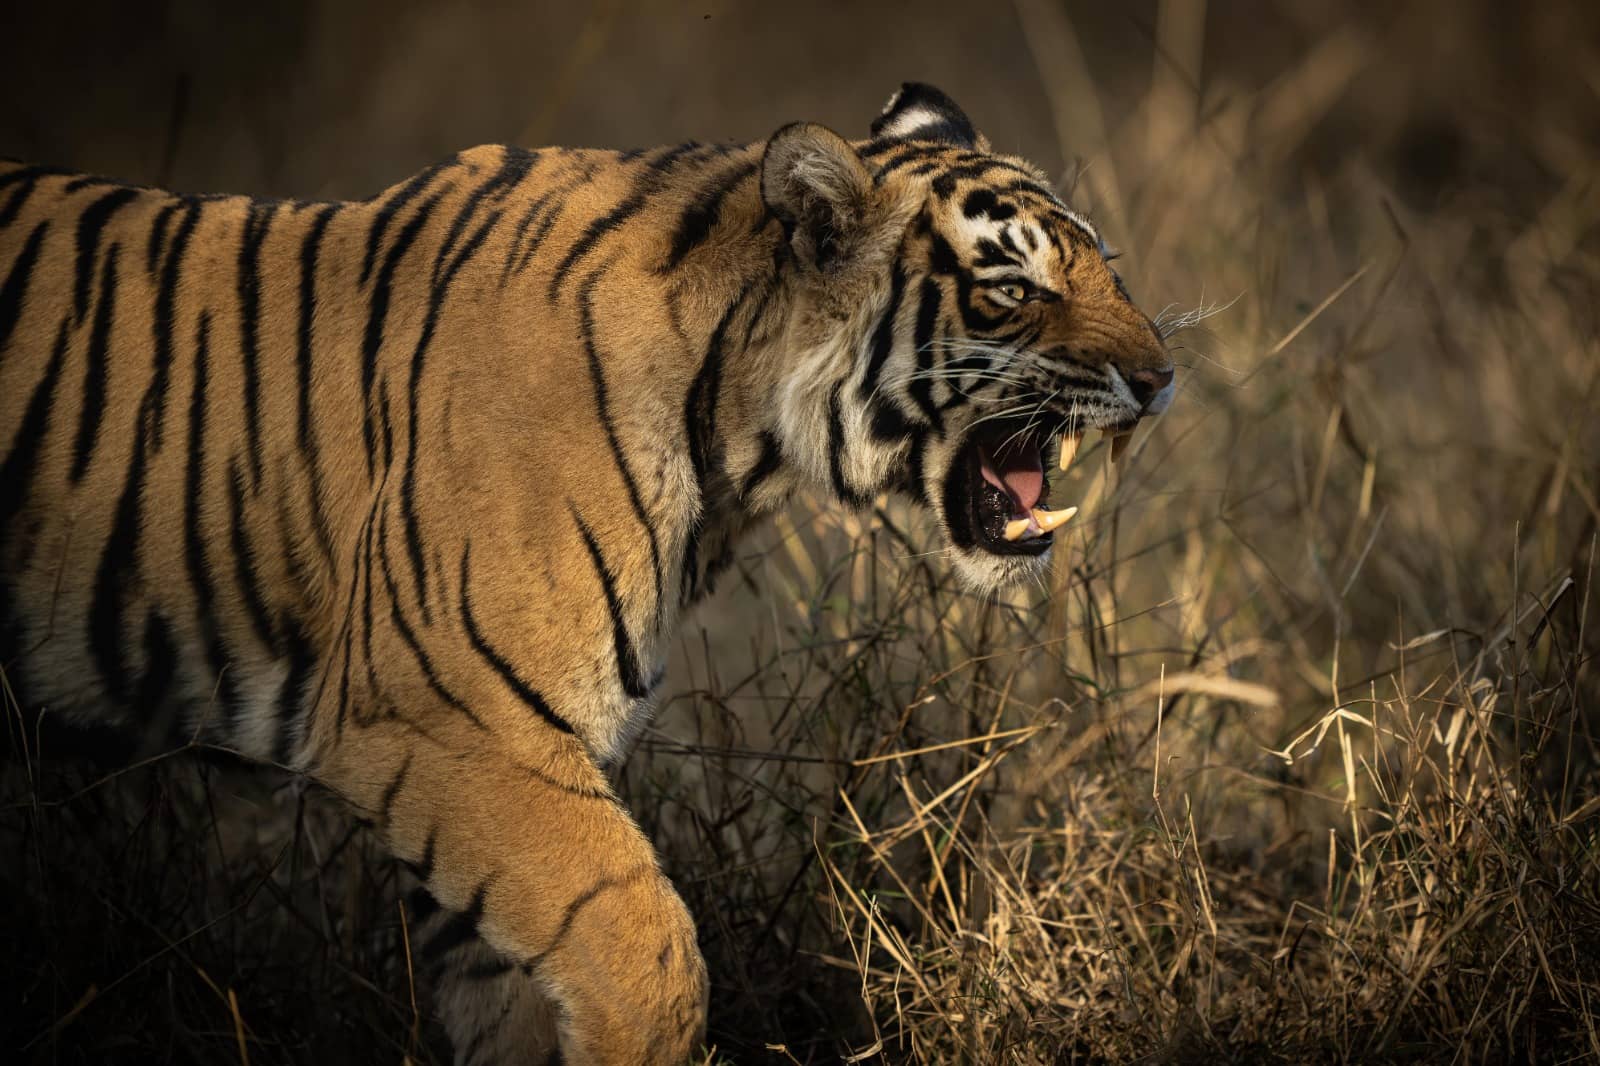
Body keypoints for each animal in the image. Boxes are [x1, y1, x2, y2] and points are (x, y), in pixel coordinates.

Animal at [0, 85, 1177, 1062]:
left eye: (1108, 268)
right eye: (1012, 288)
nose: (1162, 378)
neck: (731, 434)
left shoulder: (491, 760)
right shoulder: (451, 721)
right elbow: (641, 945)